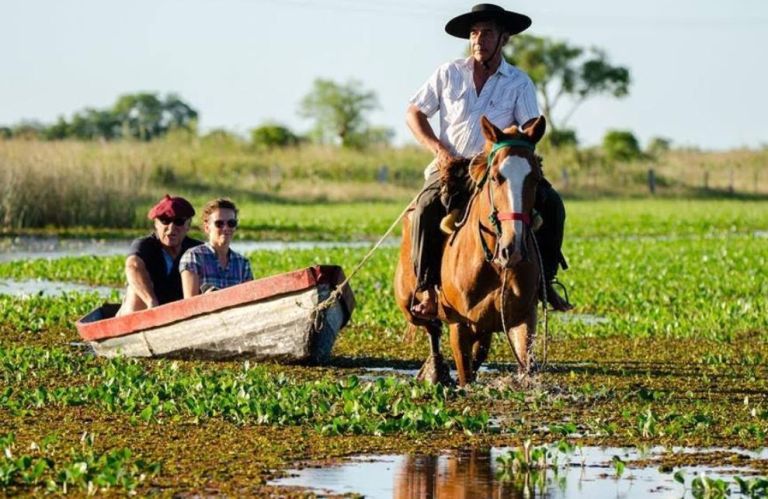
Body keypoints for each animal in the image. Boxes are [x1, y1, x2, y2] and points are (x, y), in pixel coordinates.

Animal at [396, 116, 544, 386]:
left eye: (536, 178)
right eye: (496, 177)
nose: (513, 249)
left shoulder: (523, 318)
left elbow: (524, 361)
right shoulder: (460, 326)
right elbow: (465, 375)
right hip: (410, 307)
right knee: (432, 329)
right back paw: (435, 371)